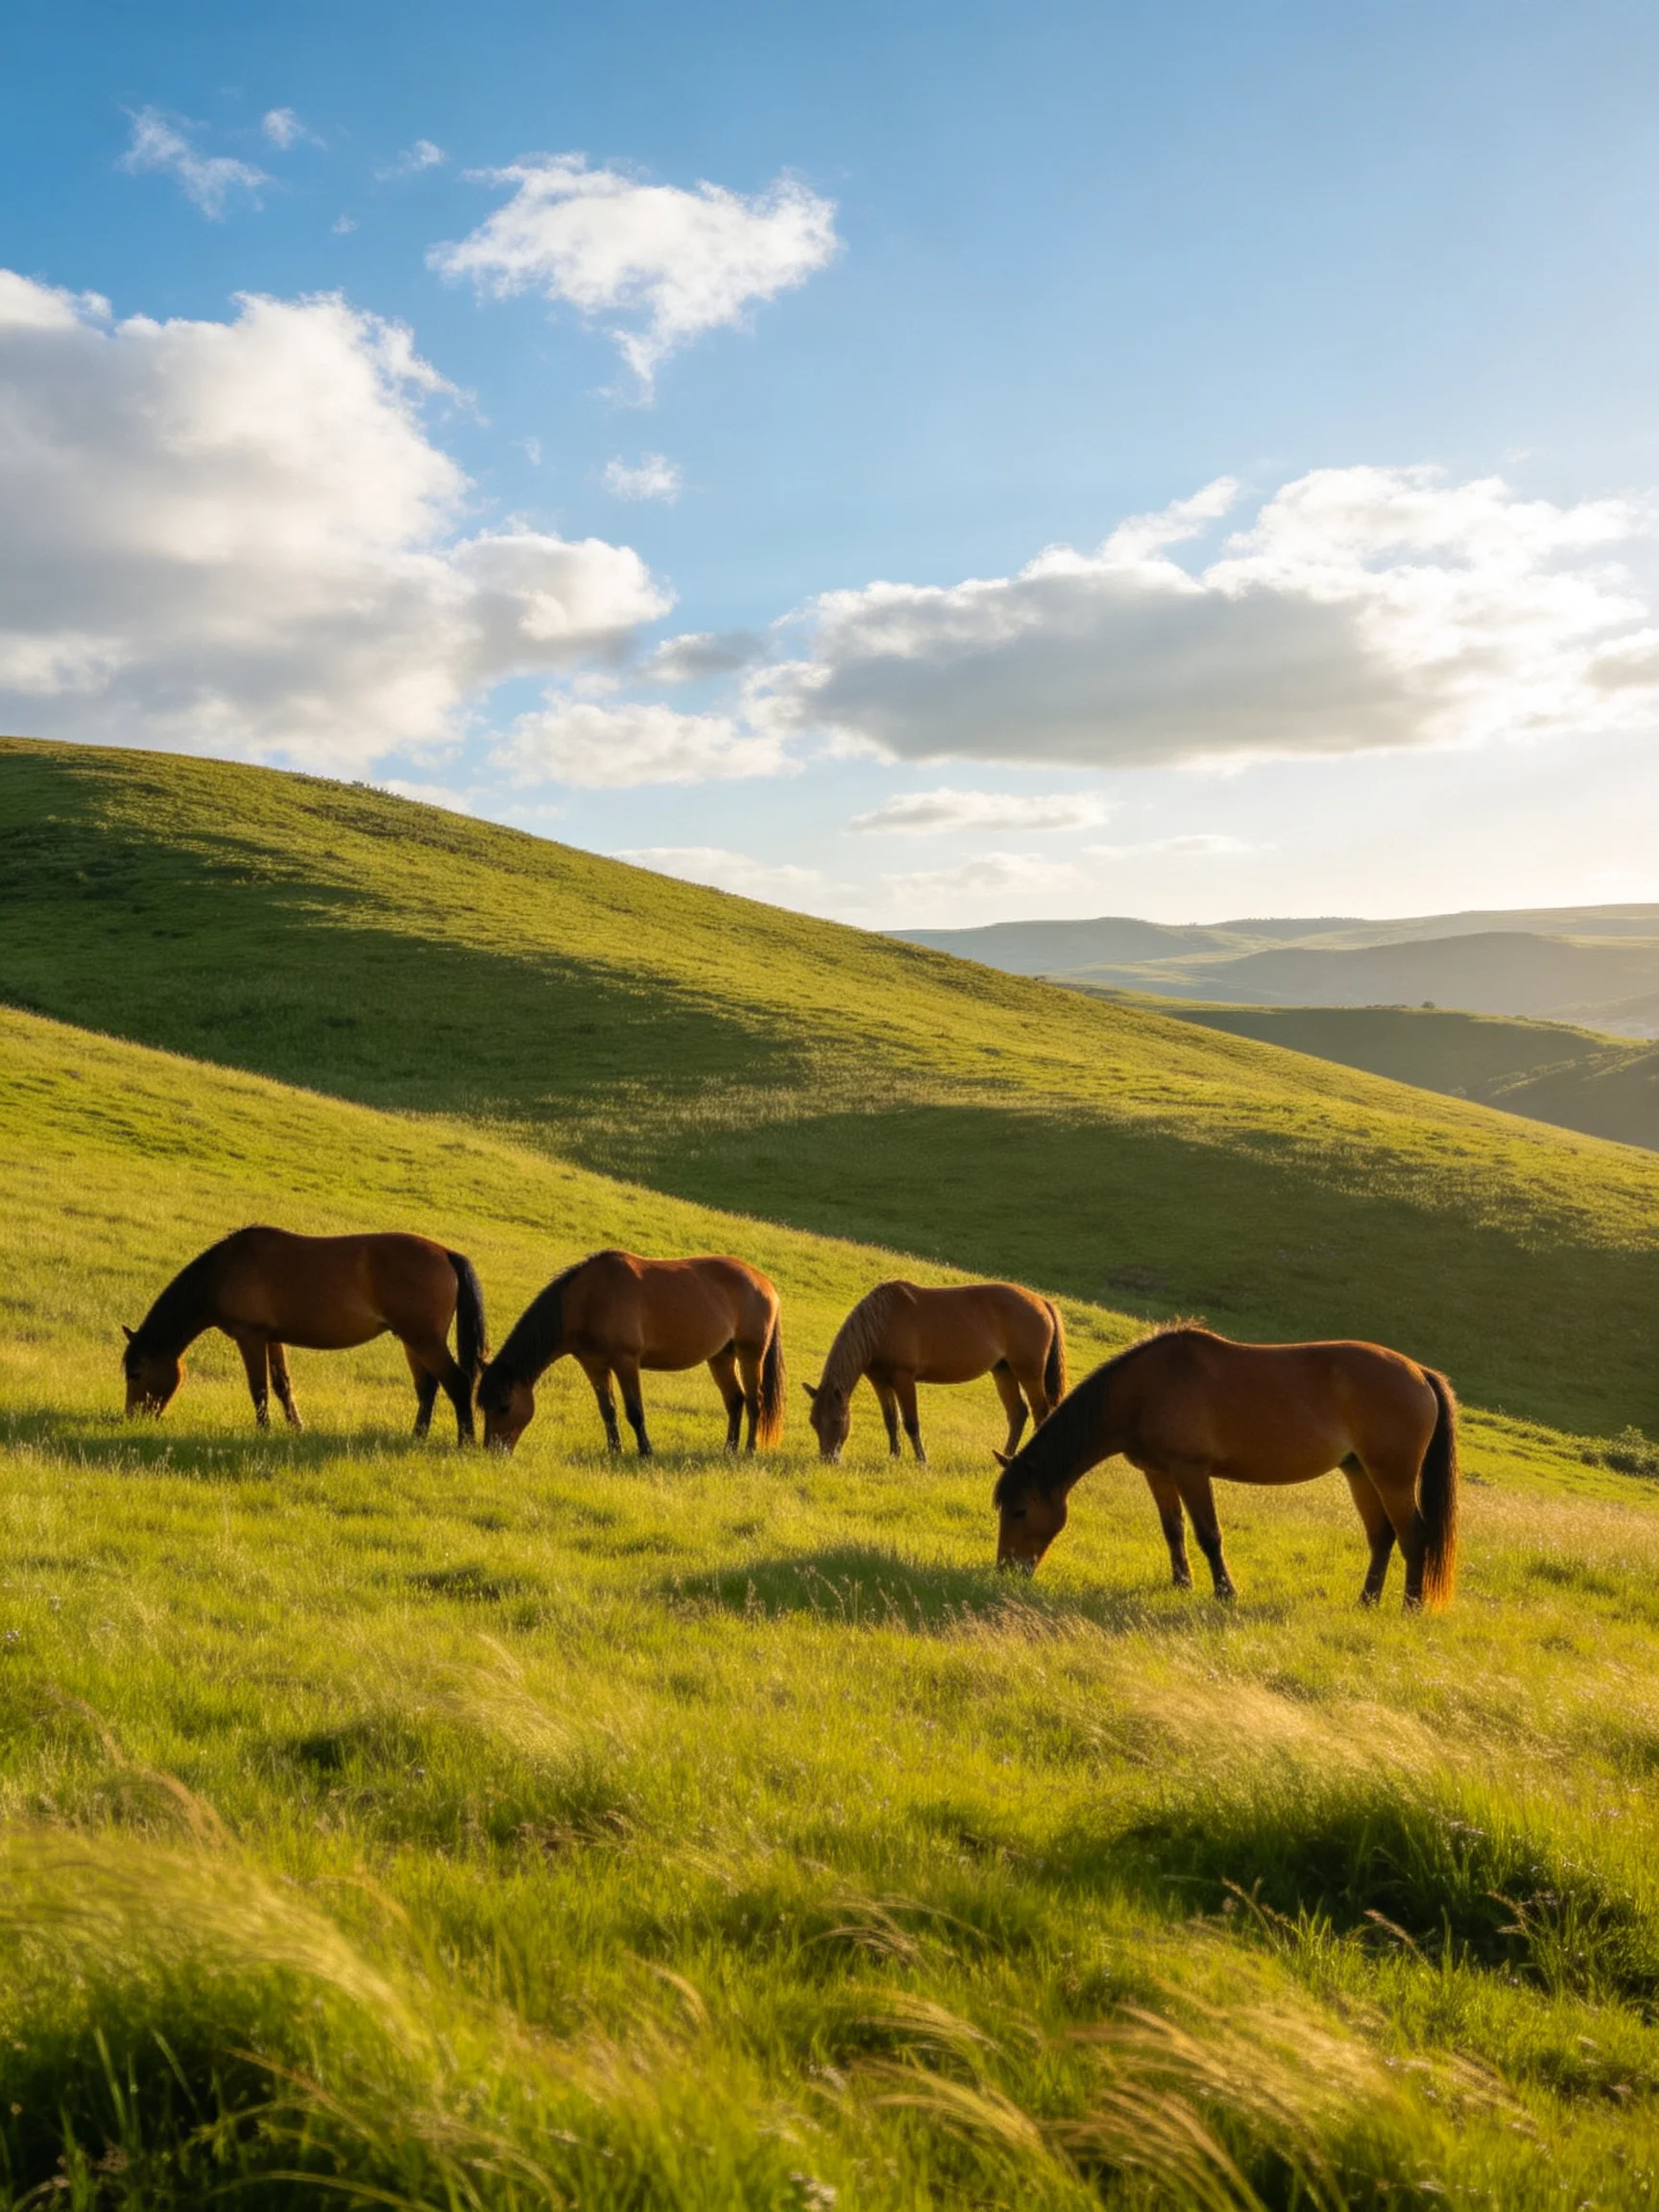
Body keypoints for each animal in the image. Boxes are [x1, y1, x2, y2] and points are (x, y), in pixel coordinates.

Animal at [121, 1226, 489, 1442]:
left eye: (136, 1372)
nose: (130, 1418)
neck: (222, 1271)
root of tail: (445, 1253)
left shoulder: (249, 1336)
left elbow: (258, 1388)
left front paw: (264, 1429)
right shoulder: (272, 1337)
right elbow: (281, 1384)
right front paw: (296, 1426)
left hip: (424, 1340)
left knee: (457, 1382)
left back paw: (465, 1440)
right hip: (413, 1340)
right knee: (428, 1387)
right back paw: (417, 1436)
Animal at [478, 1249, 785, 1456]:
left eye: (504, 1405)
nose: (493, 1451)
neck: (587, 1300)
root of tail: (765, 1282)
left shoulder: (626, 1362)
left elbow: (634, 1411)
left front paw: (645, 1451)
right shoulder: (594, 1366)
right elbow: (608, 1410)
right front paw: (614, 1451)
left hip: (750, 1354)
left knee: (755, 1401)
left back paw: (749, 1451)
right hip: (721, 1356)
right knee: (735, 1401)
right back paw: (729, 1449)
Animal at [805, 1279, 1066, 1464]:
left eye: (837, 1420)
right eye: (813, 1422)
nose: (827, 1460)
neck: (881, 1324)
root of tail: (1041, 1302)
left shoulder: (904, 1379)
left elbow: (911, 1422)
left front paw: (921, 1460)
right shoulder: (880, 1381)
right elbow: (891, 1420)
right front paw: (894, 1456)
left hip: (1029, 1372)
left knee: (1040, 1412)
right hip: (1003, 1371)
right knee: (1017, 1413)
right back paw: (1006, 1456)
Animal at [990, 1325, 1459, 1609]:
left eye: (1020, 1511)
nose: (1006, 1571)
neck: (1144, 1390)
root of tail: (1419, 1372)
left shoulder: (1191, 1471)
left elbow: (1208, 1535)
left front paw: (1224, 1592)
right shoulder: (1159, 1473)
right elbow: (1173, 1529)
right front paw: (1181, 1583)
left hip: (1392, 1476)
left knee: (1413, 1535)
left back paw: (1410, 1606)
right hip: (1359, 1472)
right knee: (1381, 1536)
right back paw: (1366, 1601)